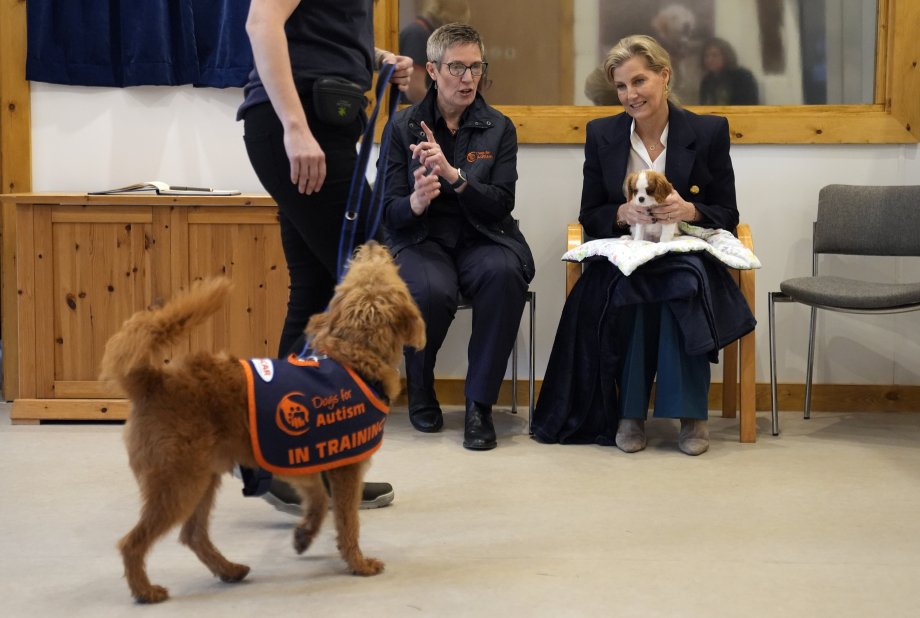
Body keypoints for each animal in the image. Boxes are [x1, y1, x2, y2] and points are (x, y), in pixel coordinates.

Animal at [101, 242, 428, 600]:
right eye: (374, 269)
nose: (371, 245)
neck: (354, 356)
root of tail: (153, 380)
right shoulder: (345, 469)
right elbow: (347, 521)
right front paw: (358, 562)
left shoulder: (303, 457)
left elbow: (317, 500)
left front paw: (304, 535)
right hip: (178, 484)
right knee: (132, 542)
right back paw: (145, 590)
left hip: (202, 480)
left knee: (193, 535)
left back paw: (228, 569)